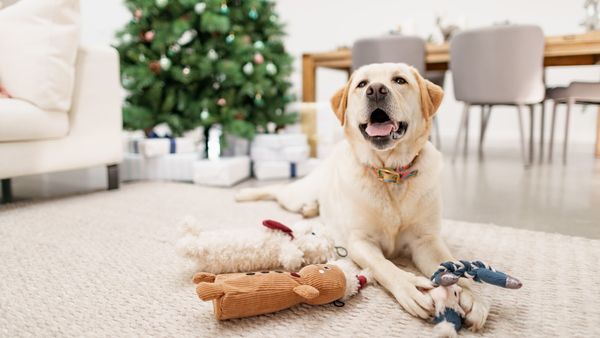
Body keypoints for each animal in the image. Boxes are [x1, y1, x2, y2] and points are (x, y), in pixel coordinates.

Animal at [237, 63, 490, 330]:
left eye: (399, 80)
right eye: (361, 84)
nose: (376, 90)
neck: (390, 174)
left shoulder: (426, 240)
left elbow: (452, 265)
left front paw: (471, 295)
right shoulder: (360, 241)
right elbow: (383, 265)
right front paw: (410, 286)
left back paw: (310, 208)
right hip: (296, 194)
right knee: (278, 191)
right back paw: (245, 193)